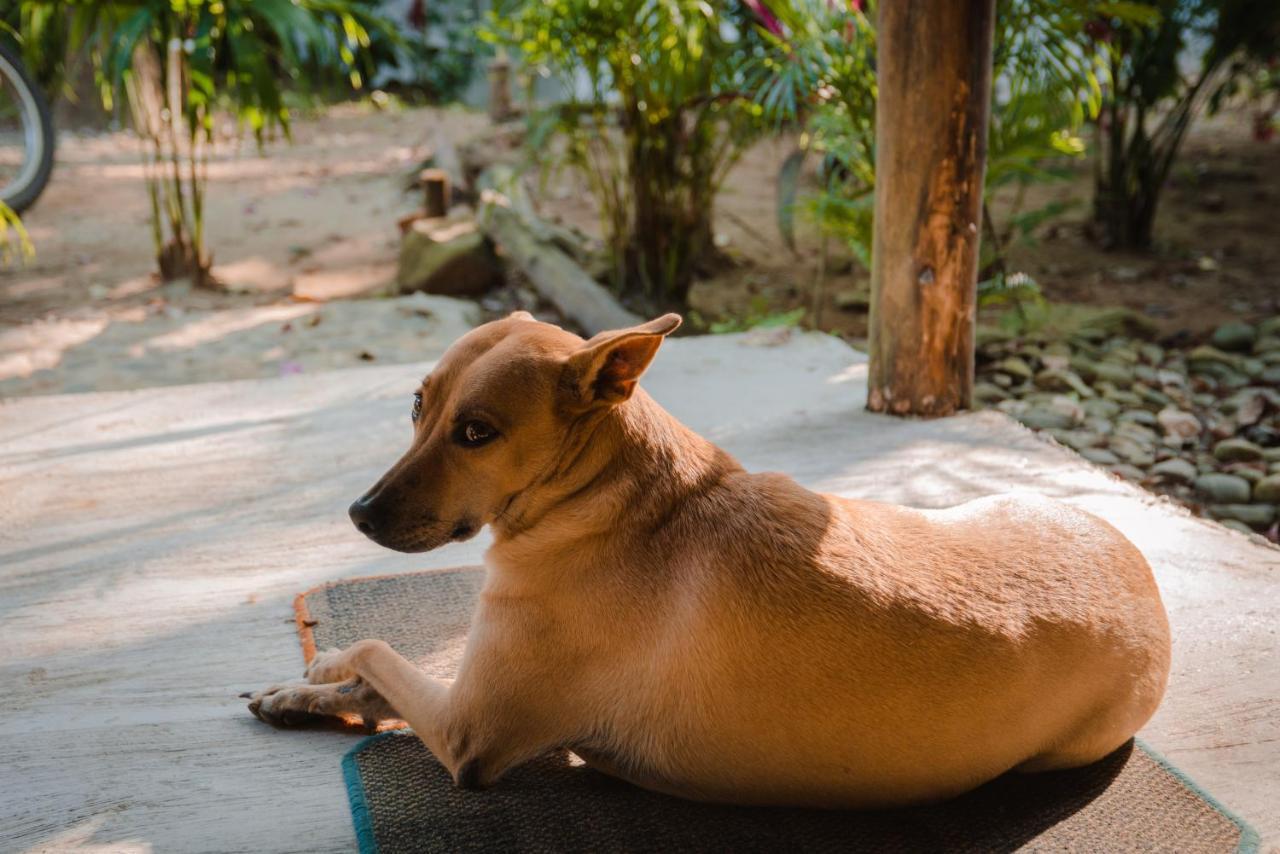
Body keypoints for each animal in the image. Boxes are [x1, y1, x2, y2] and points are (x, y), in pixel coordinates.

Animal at [247, 312, 1172, 809]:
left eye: (477, 432)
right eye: (418, 405)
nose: (360, 513)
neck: (610, 492)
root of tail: (1146, 581)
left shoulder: (471, 729)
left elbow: (379, 651)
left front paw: (321, 667)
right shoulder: (467, 685)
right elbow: (384, 671)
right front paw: (305, 688)